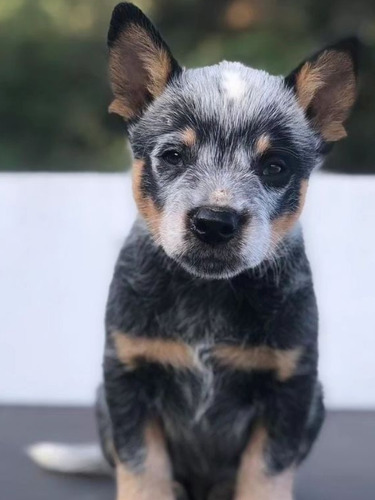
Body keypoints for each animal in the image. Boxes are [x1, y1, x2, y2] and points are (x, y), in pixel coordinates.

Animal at [28, 3, 358, 500]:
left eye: (275, 166)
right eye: (173, 156)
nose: (214, 222)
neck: (207, 296)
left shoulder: (289, 386)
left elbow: (266, 473)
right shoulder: (129, 376)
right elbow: (143, 470)